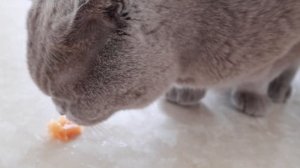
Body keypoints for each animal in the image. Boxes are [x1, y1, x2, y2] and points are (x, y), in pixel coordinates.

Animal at [27, 0, 300, 125]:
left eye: (67, 99)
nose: (60, 110)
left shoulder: (282, 42)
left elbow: (260, 76)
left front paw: (252, 96)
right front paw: (186, 92)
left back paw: (278, 91)